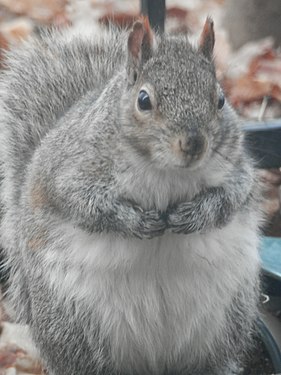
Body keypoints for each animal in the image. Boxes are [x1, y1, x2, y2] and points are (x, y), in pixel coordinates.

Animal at [0, 16, 262, 375]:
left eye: (220, 100)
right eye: (144, 100)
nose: (194, 144)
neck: (166, 171)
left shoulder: (236, 170)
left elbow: (231, 198)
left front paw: (195, 214)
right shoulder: (70, 172)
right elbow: (85, 204)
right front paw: (136, 221)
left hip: (226, 323)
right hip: (73, 327)